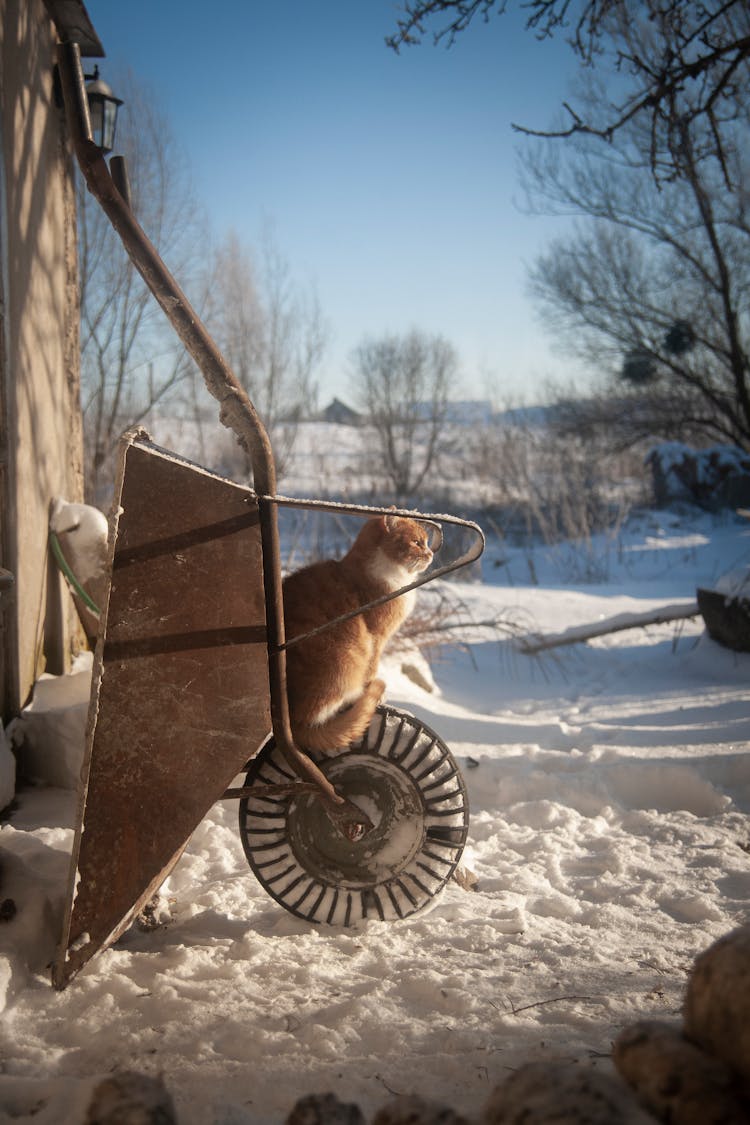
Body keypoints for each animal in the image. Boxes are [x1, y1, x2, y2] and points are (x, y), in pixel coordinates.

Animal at [281, 515, 434, 751]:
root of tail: (294, 724)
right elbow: (372, 668)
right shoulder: (377, 638)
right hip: (349, 657)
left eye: (426, 542)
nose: (431, 553)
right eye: (417, 542)